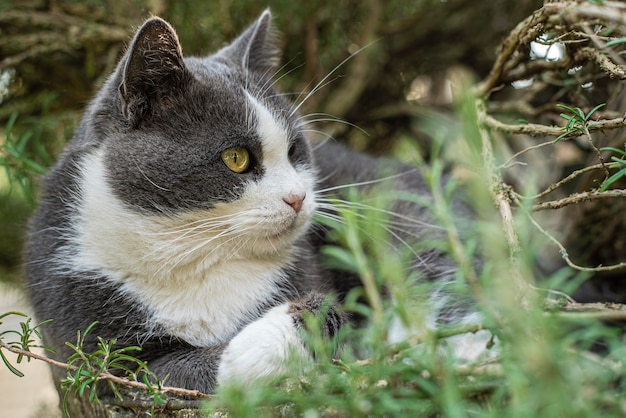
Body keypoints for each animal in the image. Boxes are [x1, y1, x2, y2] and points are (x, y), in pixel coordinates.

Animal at [22, 9, 488, 396]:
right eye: (236, 158)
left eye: (296, 149)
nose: (298, 197)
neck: (195, 259)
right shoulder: (88, 342)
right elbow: (171, 374)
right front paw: (289, 328)